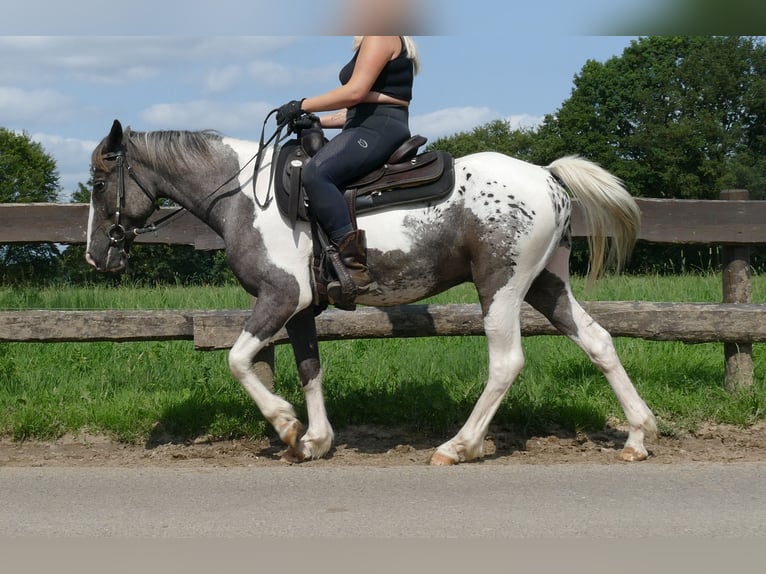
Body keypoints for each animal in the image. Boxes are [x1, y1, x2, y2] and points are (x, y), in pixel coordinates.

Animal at [85, 119, 660, 466]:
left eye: (98, 181)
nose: (96, 256)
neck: (248, 197)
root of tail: (547, 174)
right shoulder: (302, 309)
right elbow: (310, 368)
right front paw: (315, 440)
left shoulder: (279, 297)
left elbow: (238, 360)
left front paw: (286, 427)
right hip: (547, 284)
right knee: (598, 342)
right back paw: (637, 436)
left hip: (500, 286)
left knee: (506, 362)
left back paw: (458, 446)